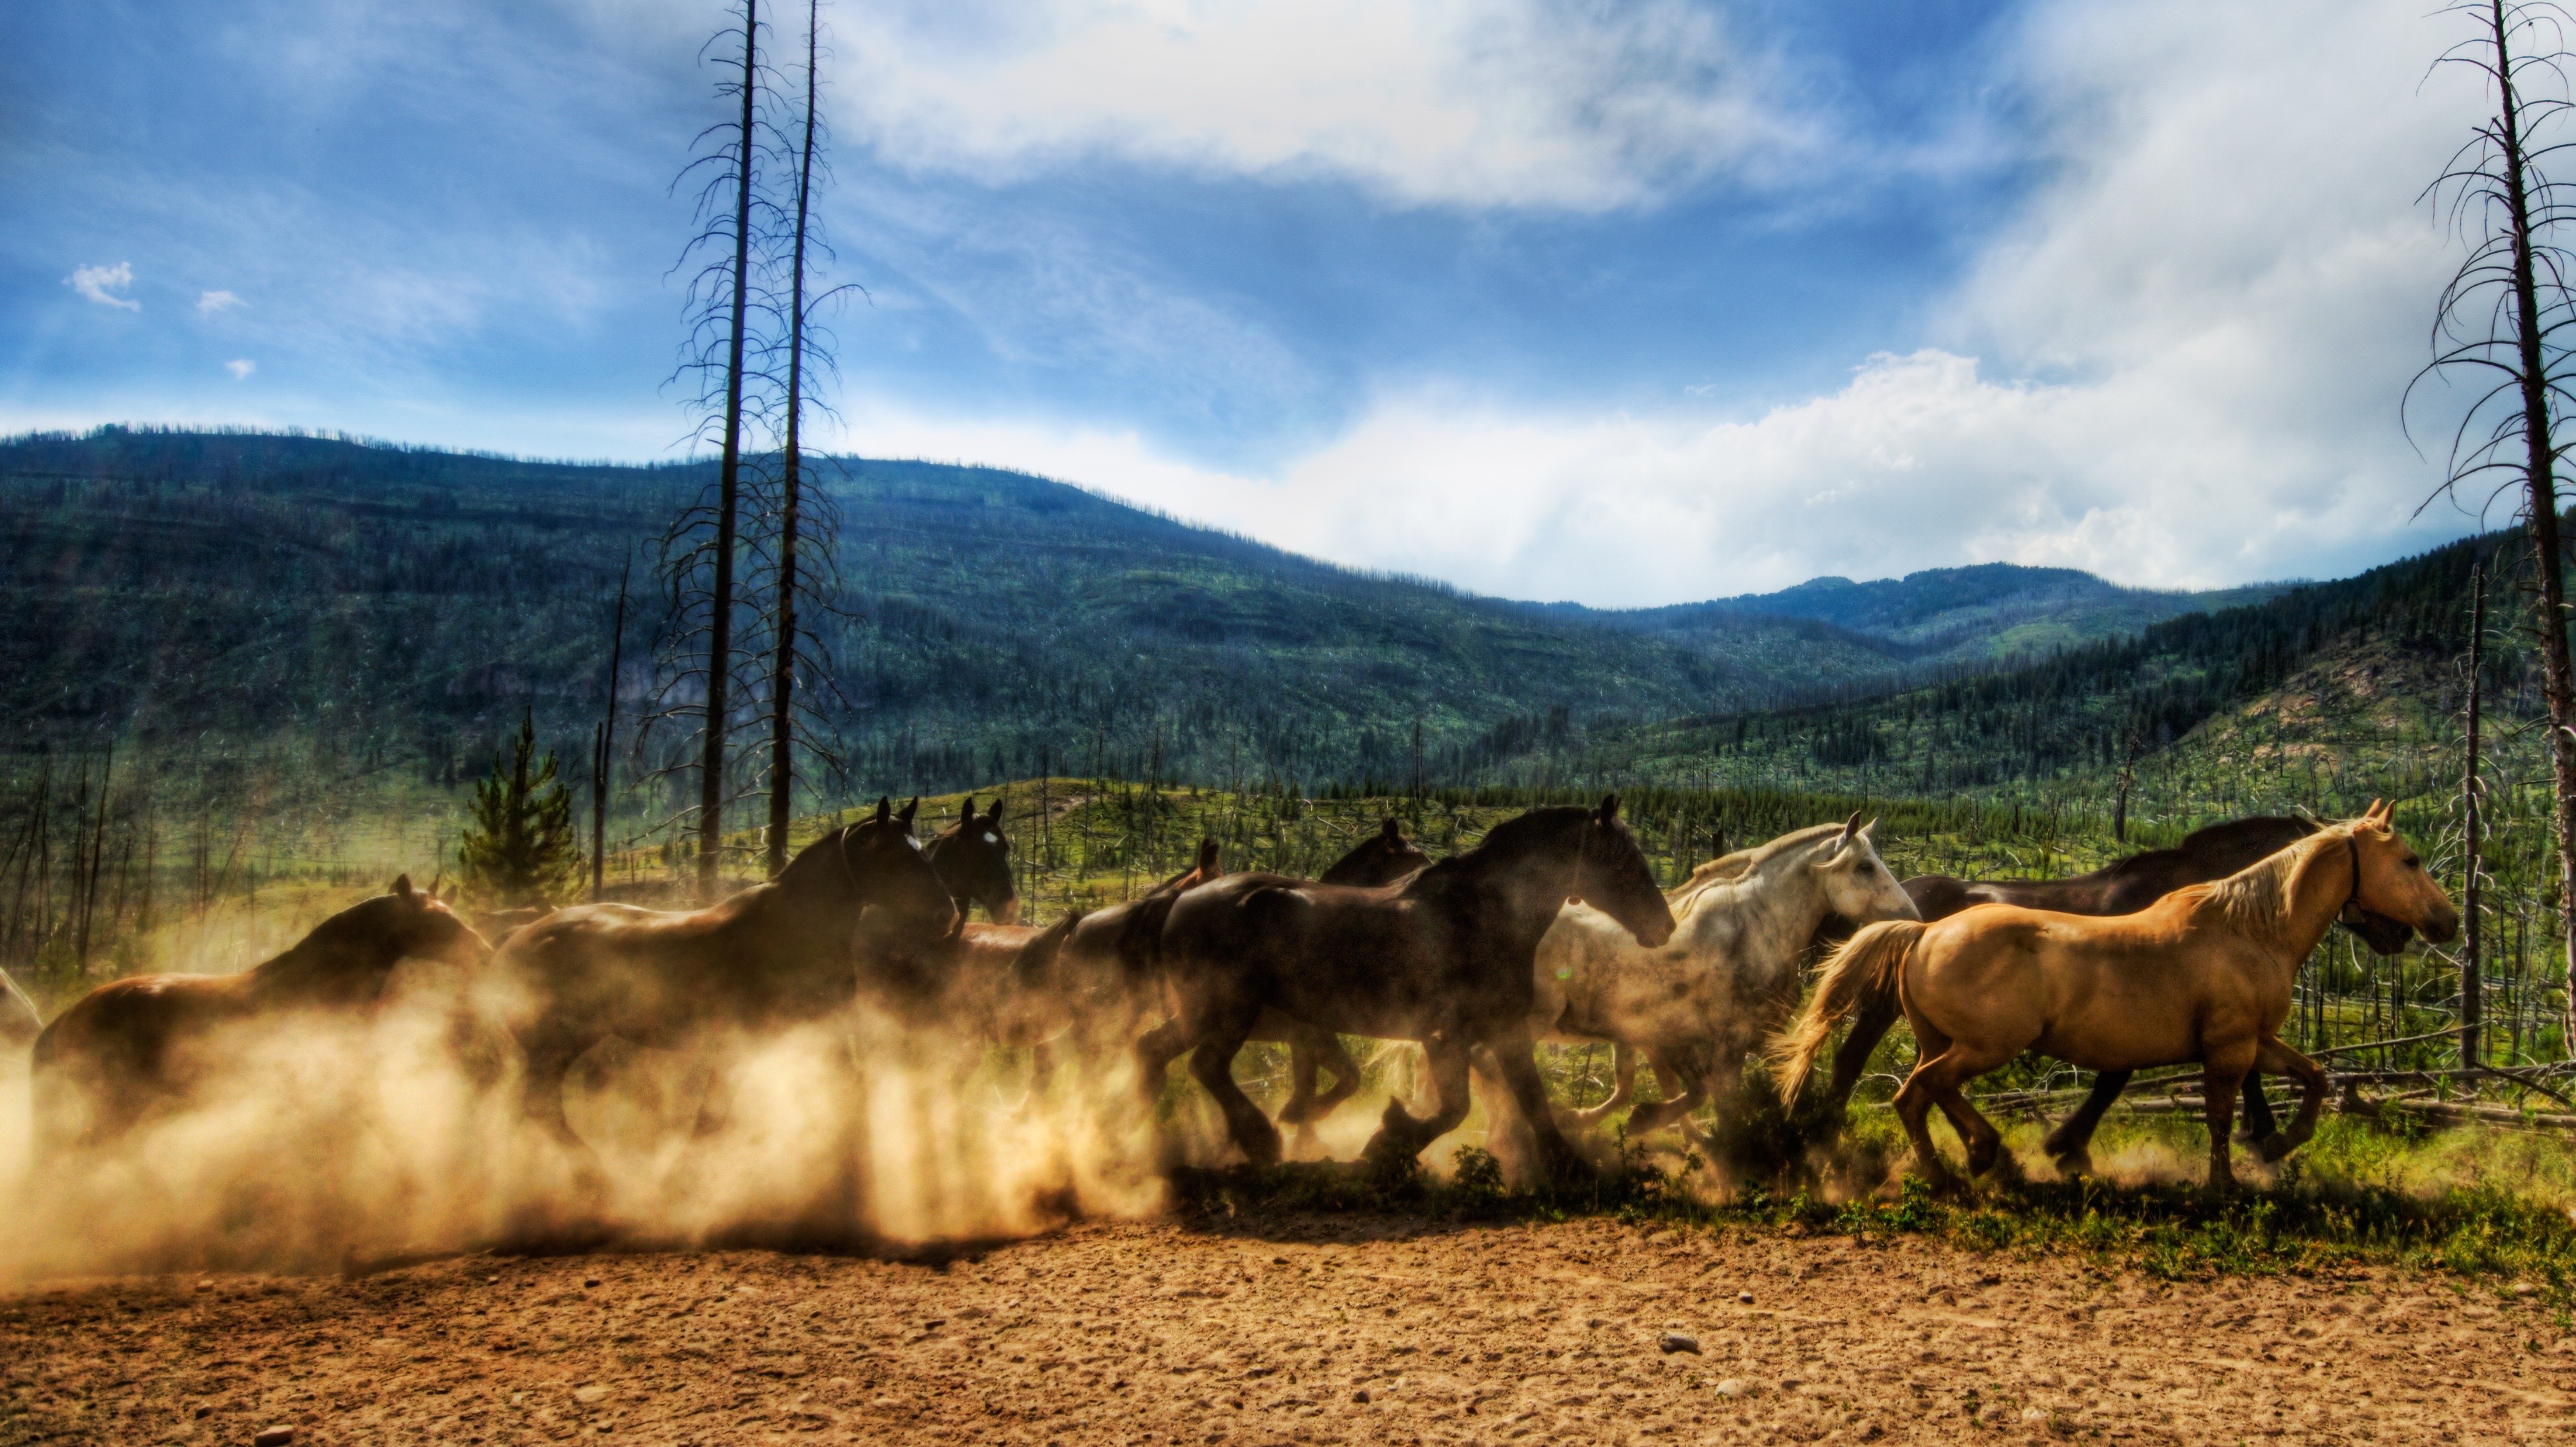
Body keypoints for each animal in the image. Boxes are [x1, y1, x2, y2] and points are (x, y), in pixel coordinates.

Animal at [492, 798, 958, 1158]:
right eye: (893, 857)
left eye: (923, 850)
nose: (947, 914)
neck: (794, 929)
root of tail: (518, 940)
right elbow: (711, 1120)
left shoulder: (822, 1034)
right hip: (552, 1046)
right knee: (540, 1108)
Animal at [1154, 792, 1669, 1179]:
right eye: (1624, 860)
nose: (1663, 925)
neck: (1482, 916)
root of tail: (1182, 905)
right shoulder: (1447, 1036)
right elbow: (1455, 1110)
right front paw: (1386, 1142)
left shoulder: (1502, 1031)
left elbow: (1532, 1101)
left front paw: (1570, 1167)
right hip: (1228, 1012)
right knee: (1205, 1066)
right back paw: (1260, 1139)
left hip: (1203, 1014)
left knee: (1153, 1053)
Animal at [1772, 803, 2452, 1189]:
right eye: (2412, 860)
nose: (2446, 923)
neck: (2244, 922)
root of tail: (1917, 925)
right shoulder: (2214, 1035)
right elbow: (2192, 1096)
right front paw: (2248, 1156)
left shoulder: (2228, 1034)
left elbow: (2308, 1075)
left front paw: (2273, 1143)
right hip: (1965, 1037)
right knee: (1879, 1072)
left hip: (1941, 1035)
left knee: (1919, 1083)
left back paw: (1972, 1156)